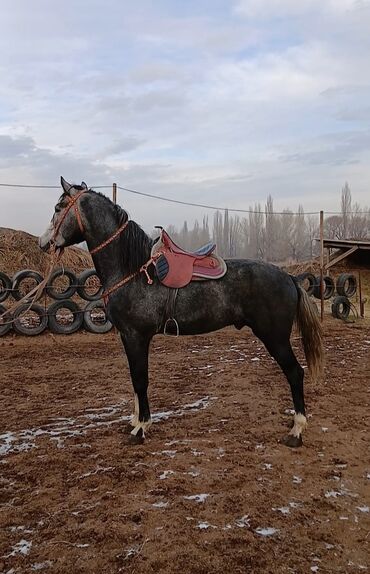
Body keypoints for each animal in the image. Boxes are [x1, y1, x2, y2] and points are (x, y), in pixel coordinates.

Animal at [39, 178, 324, 448]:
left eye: (58, 207)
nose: (43, 243)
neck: (133, 271)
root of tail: (289, 277)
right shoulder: (128, 337)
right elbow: (134, 378)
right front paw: (135, 420)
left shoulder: (136, 336)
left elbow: (140, 379)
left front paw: (140, 428)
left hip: (275, 338)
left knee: (295, 372)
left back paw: (296, 431)